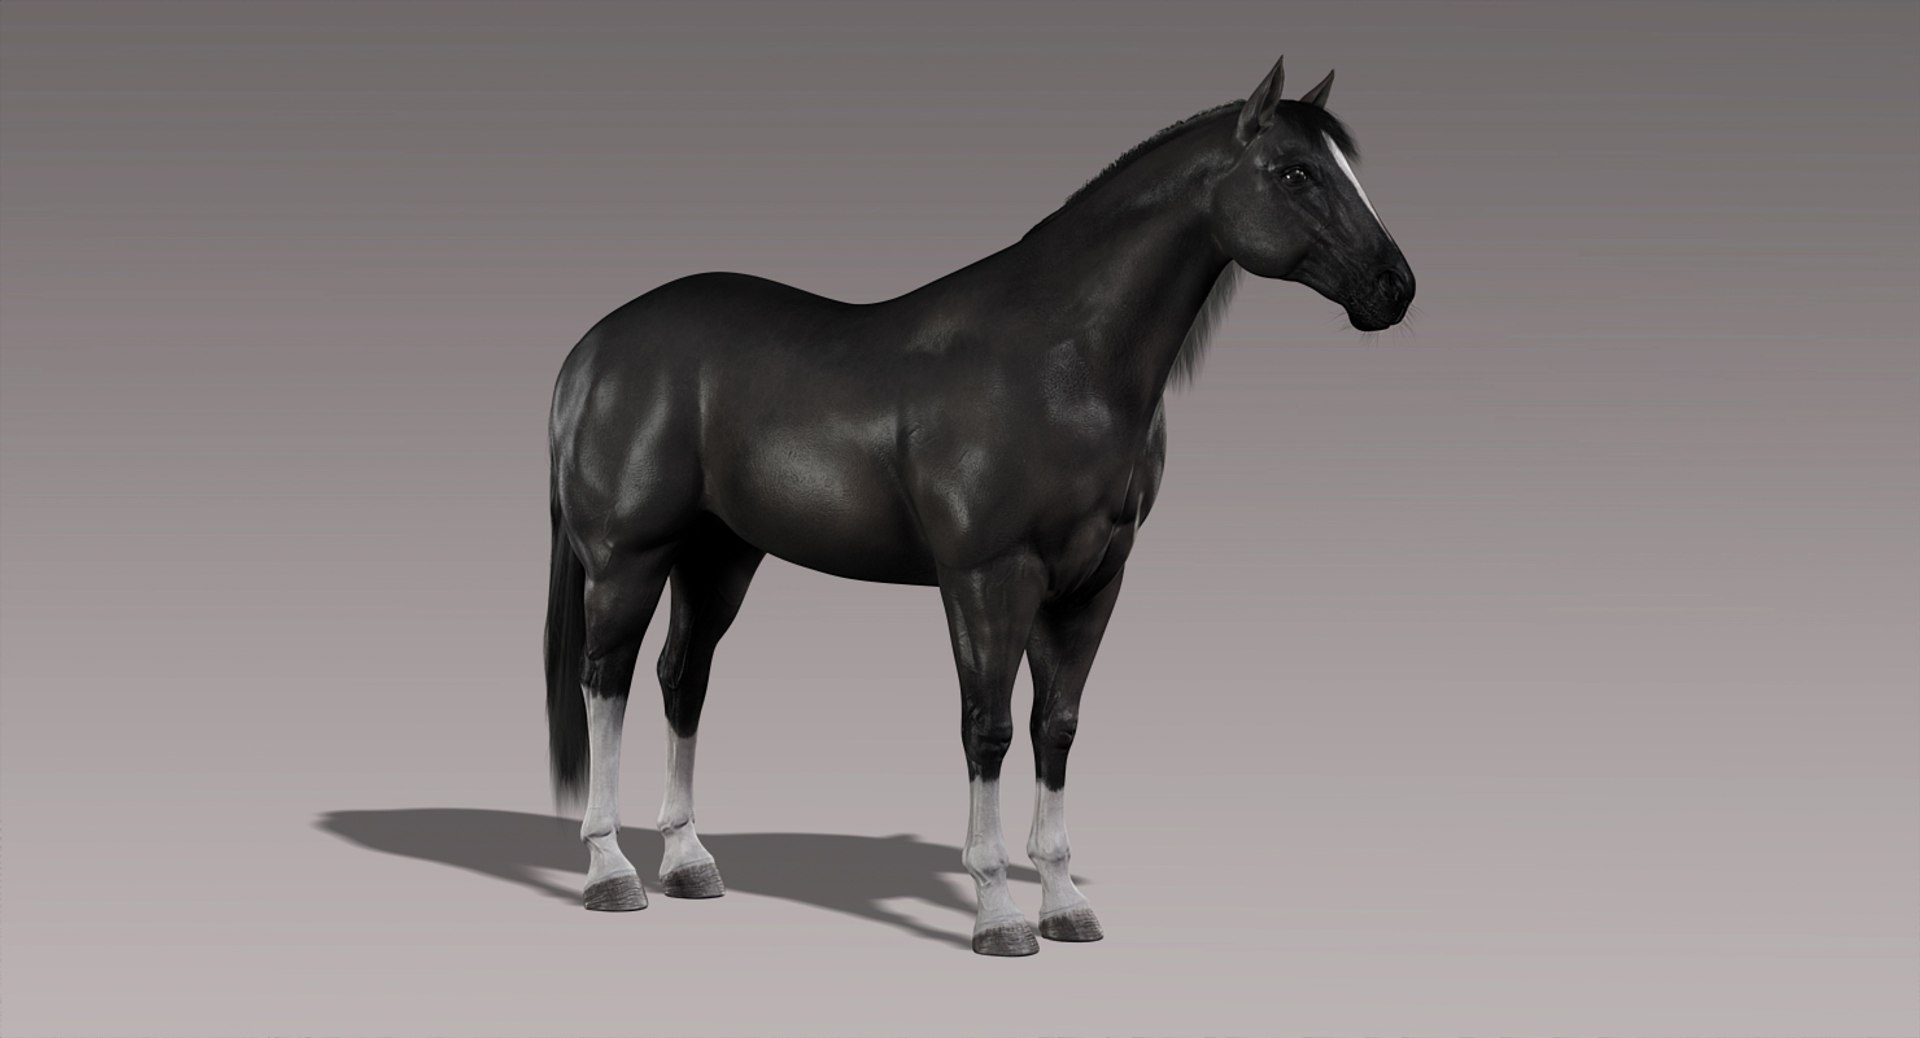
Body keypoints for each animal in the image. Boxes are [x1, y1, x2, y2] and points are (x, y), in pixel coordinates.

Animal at [543, 54, 1413, 956]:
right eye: (1296, 173)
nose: (1395, 289)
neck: (1061, 361)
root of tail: (593, 351)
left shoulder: (1092, 583)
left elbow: (1054, 726)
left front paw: (1065, 905)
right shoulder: (989, 577)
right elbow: (987, 727)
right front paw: (998, 914)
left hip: (718, 557)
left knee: (682, 678)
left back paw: (688, 864)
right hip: (628, 558)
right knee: (605, 679)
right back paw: (611, 873)